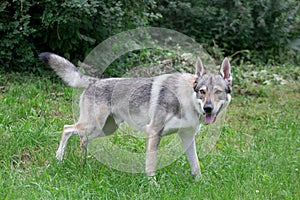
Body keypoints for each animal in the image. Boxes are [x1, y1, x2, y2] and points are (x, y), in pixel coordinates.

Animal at [38, 52, 232, 180]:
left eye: (218, 92)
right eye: (202, 91)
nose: (208, 108)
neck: (186, 98)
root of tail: (95, 81)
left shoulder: (187, 137)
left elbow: (196, 165)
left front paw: (201, 183)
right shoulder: (153, 131)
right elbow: (151, 165)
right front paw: (153, 186)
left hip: (104, 130)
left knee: (81, 139)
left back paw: (83, 163)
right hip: (94, 126)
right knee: (67, 129)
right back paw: (59, 158)